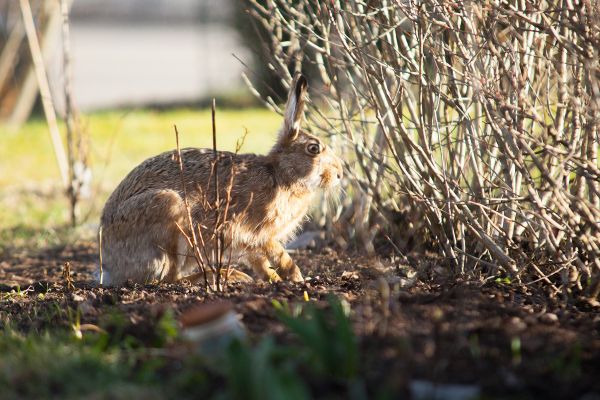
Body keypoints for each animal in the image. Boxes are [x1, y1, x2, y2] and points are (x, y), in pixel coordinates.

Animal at [98, 75, 342, 286]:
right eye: (313, 149)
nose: (339, 173)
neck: (280, 174)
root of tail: (108, 260)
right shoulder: (254, 231)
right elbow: (278, 254)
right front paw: (296, 278)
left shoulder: (248, 243)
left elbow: (260, 262)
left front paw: (274, 279)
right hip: (168, 211)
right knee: (168, 279)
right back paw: (224, 275)